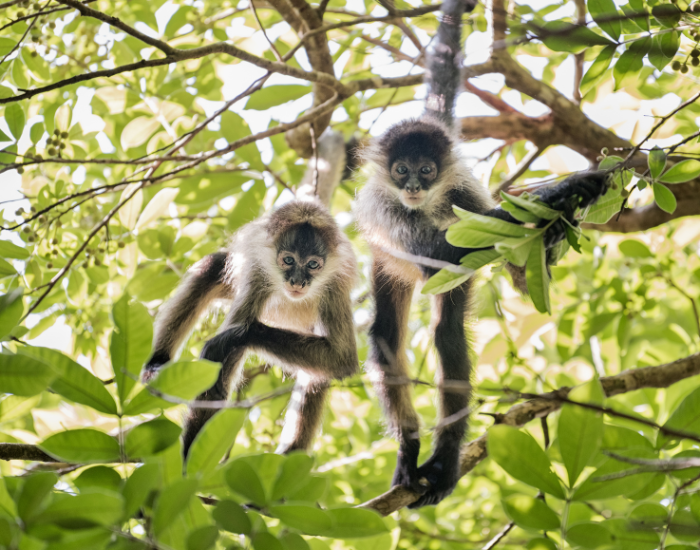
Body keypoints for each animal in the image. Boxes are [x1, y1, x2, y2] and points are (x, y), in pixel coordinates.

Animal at [141, 201, 359, 456]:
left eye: (313, 265)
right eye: (288, 261)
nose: (297, 282)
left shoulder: (335, 284)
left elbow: (341, 359)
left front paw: (239, 336)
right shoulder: (256, 271)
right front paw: (188, 465)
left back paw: (292, 454)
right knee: (212, 268)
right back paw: (156, 363)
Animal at [353, 0, 609, 507]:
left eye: (427, 171)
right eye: (402, 170)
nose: (414, 186)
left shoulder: (462, 193)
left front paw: (556, 215)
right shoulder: (387, 210)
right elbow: (432, 254)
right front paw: (562, 192)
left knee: (447, 334)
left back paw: (445, 459)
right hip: (386, 262)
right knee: (386, 334)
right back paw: (410, 450)